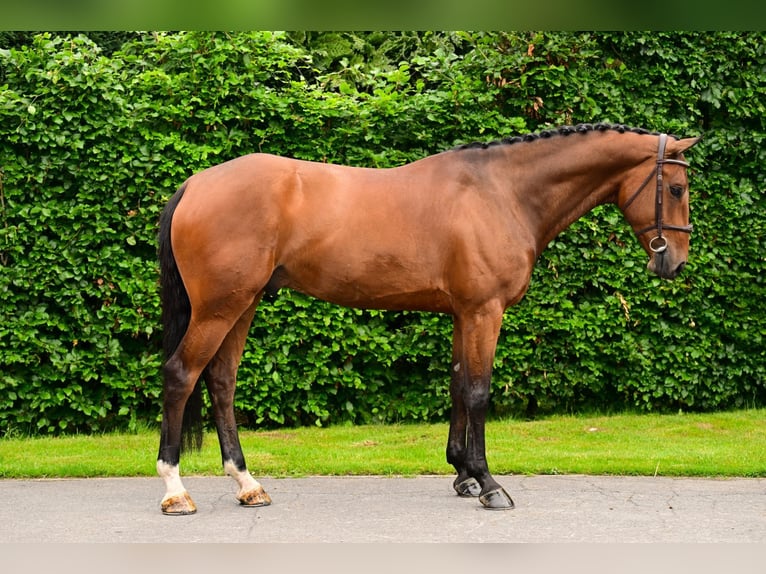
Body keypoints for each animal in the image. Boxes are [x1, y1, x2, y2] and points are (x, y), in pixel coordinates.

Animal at [156, 123, 699, 515]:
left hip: (243, 304)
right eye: (675, 188)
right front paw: (489, 483)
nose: (673, 263)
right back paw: (175, 491)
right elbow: (478, 391)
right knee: (181, 375)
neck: (503, 192)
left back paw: (248, 484)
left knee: (221, 381)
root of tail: (194, 184)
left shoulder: (464, 313)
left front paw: (462, 474)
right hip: (220, 307)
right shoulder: (484, 312)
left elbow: (458, 386)